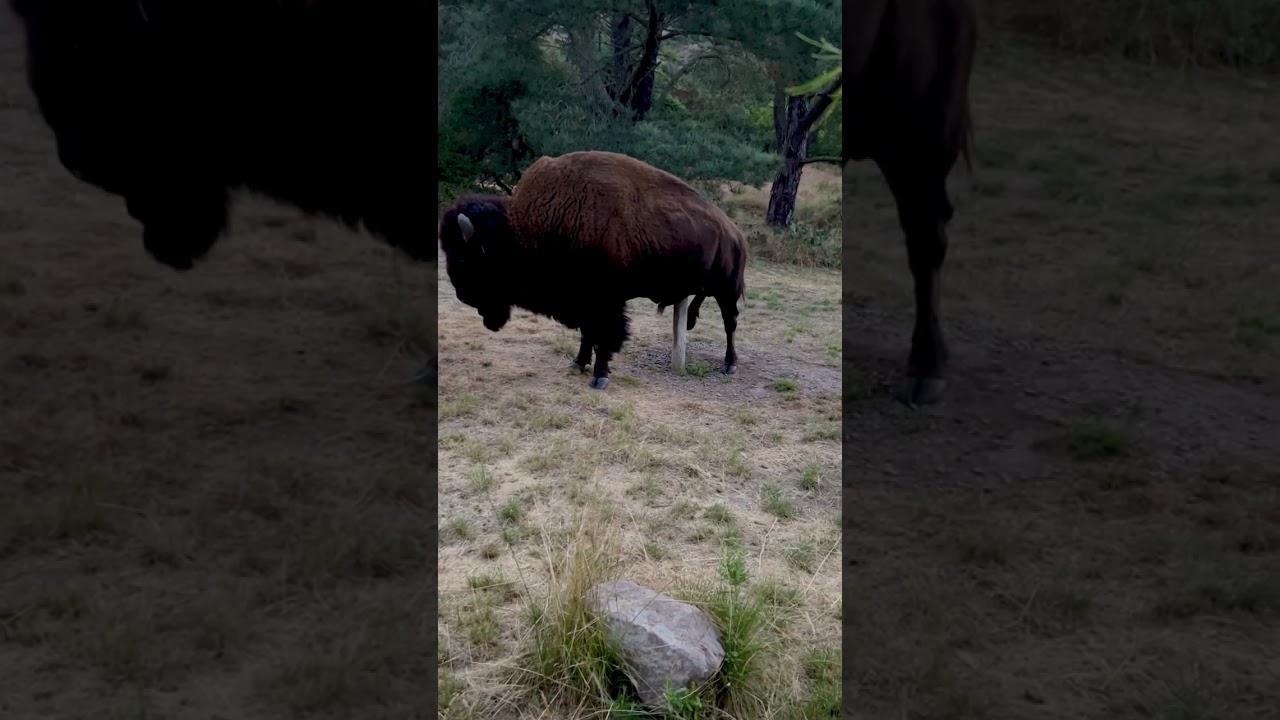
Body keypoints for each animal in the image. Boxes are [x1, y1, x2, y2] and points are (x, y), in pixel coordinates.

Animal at [438, 150, 748, 390]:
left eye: (466, 258)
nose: (462, 295)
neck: (525, 231)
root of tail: (735, 232)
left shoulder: (605, 302)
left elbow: (605, 337)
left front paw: (599, 377)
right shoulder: (584, 300)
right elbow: (587, 334)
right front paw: (577, 364)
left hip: (727, 290)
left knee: (730, 323)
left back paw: (729, 366)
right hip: (708, 288)